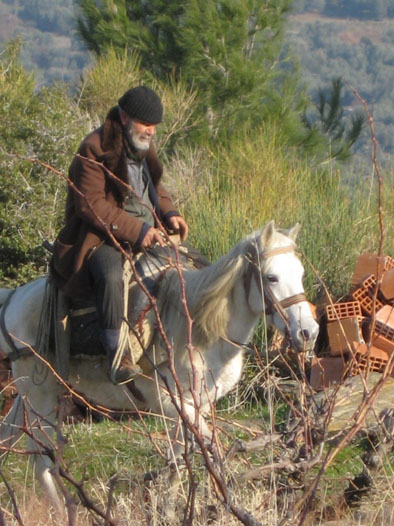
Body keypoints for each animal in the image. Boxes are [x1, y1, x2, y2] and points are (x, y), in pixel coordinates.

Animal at [0, 222, 318, 512]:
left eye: (301, 274)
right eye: (271, 277)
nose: (308, 332)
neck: (199, 325)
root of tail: (14, 296)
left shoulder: (196, 404)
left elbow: (178, 460)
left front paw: (168, 507)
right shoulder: (170, 401)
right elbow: (208, 448)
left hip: (34, 395)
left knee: (10, 435)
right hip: (39, 397)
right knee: (41, 460)